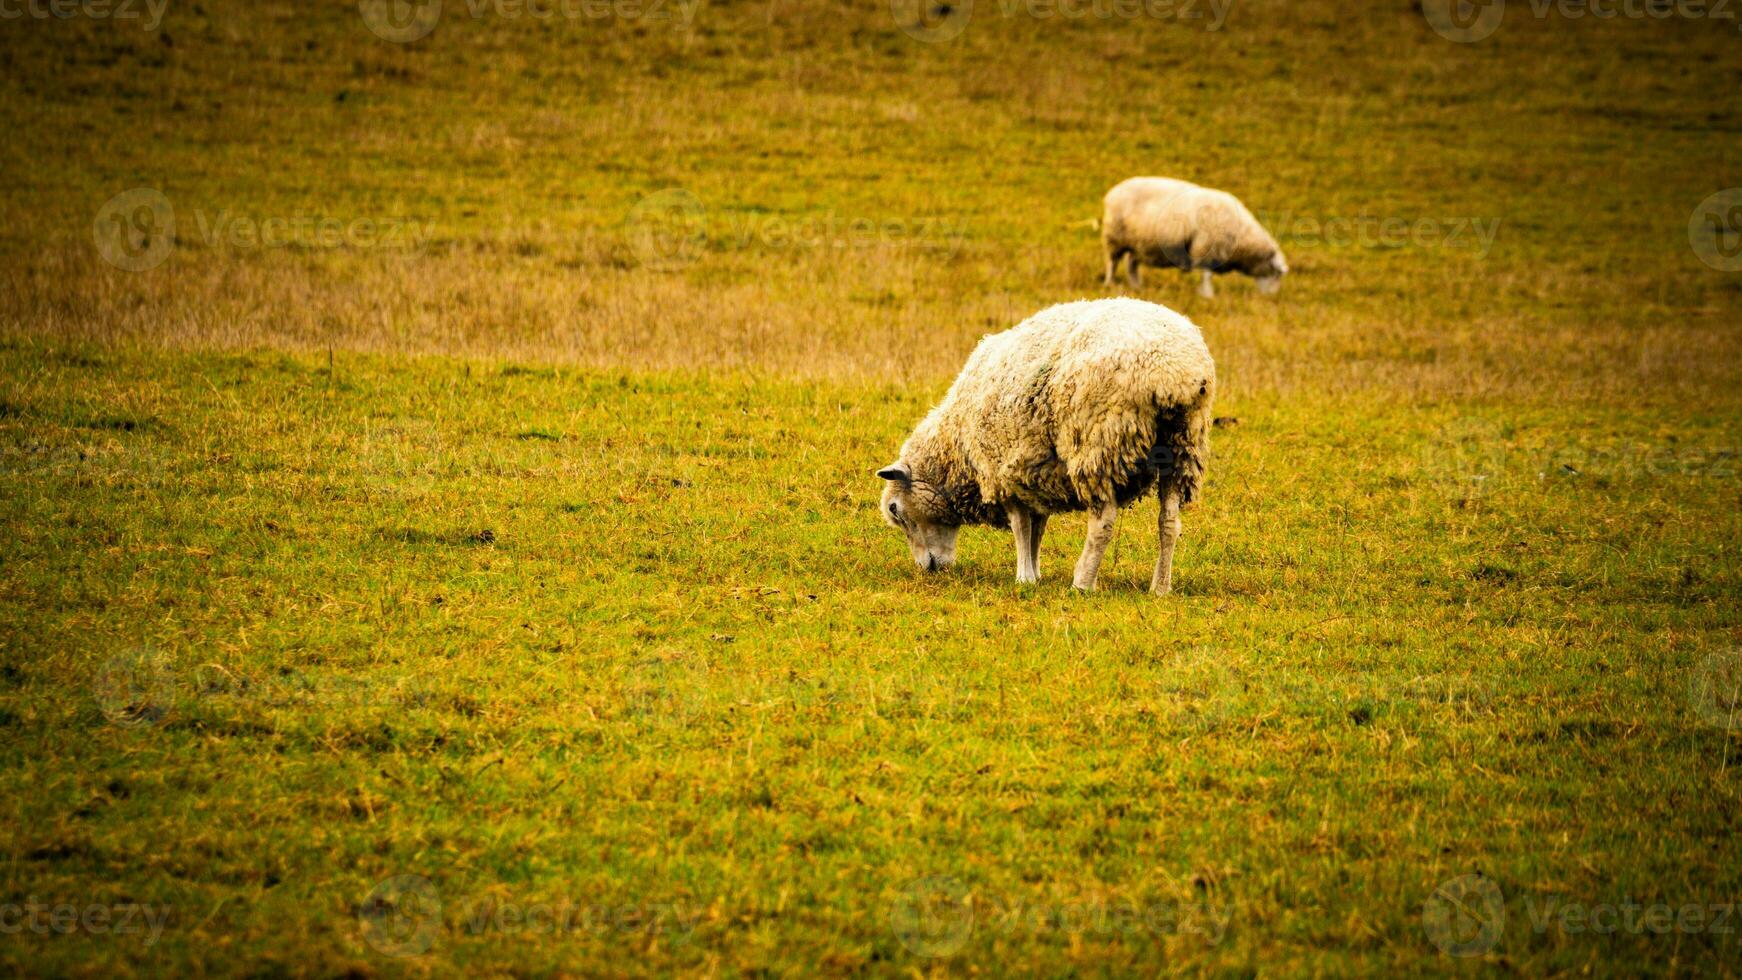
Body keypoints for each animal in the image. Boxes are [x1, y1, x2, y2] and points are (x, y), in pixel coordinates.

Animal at [877, 295, 1219, 595]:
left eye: (896, 510)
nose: (928, 568)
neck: (957, 446)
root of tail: (1175, 372)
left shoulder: (1002, 470)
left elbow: (1021, 527)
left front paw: (1024, 577)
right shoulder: (1034, 474)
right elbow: (1037, 528)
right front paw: (1035, 571)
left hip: (1098, 443)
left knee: (1103, 523)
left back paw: (1083, 582)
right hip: (1182, 446)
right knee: (1169, 522)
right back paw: (1160, 587)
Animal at [1093, 176, 1289, 299]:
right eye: (1277, 274)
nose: (1271, 297)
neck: (1241, 234)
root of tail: (1112, 192)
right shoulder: (1206, 248)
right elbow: (1206, 275)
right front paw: (1208, 294)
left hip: (1138, 242)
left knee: (1131, 266)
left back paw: (1137, 287)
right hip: (1114, 236)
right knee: (1112, 263)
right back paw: (1110, 284)